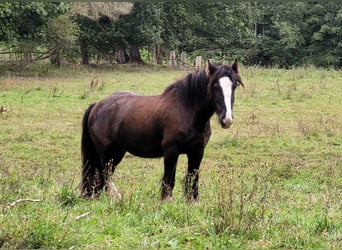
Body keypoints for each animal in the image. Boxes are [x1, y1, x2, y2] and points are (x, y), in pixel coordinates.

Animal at [80, 60, 243, 201]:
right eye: (215, 86)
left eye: (234, 85)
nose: (227, 119)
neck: (186, 109)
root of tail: (96, 106)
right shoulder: (171, 151)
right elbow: (169, 179)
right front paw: (166, 201)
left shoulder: (197, 151)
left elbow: (192, 179)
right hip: (107, 153)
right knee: (103, 175)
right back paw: (115, 196)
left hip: (118, 152)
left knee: (101, 178)